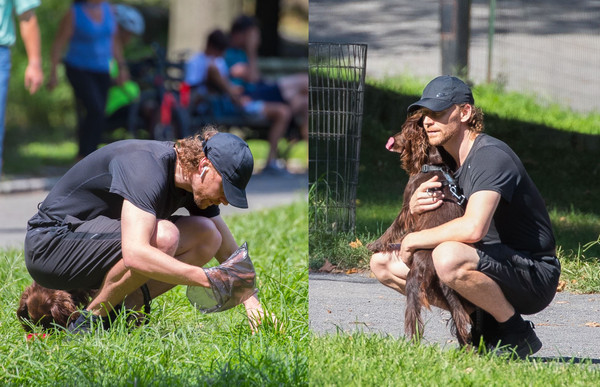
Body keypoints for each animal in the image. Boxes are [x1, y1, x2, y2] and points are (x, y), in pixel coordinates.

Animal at [368, 111, 472, 346]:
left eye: (403, 131)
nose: (391, 139)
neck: (433, 165)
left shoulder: (408, 206)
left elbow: (392, 228)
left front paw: (376, 244)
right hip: (445, 287)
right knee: (459, 312)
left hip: (413, 280)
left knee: (413, 312)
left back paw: (412, 341)